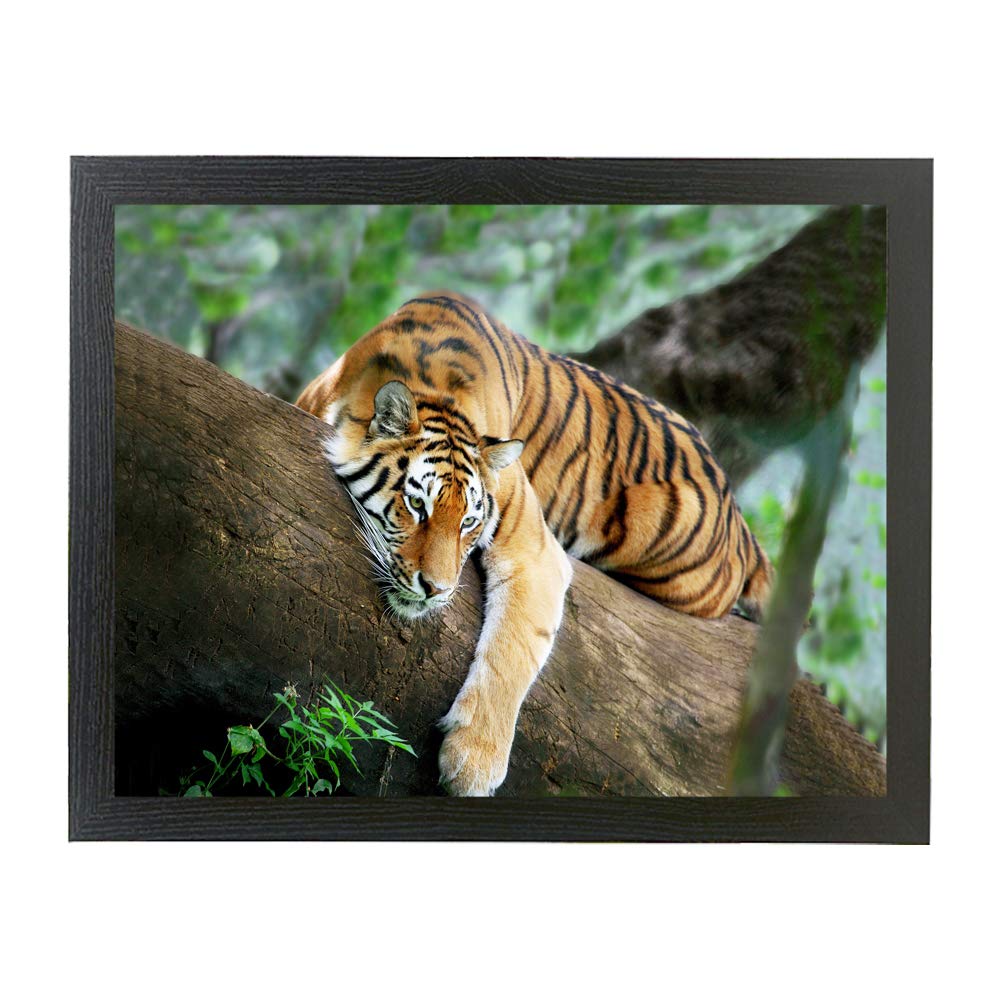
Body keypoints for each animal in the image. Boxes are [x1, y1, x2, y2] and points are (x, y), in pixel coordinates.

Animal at [296, 293, 773, 796]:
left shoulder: (536, 551)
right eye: (416, 505)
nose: (437, 590)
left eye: (468, 522)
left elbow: (512, 650)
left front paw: (473, 764)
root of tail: (737, 513)